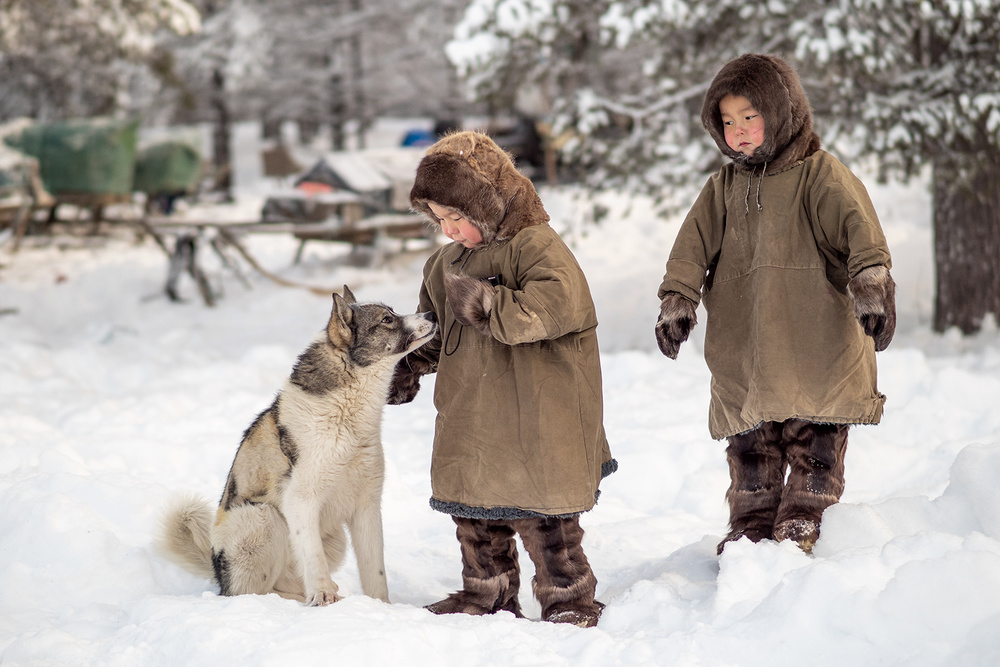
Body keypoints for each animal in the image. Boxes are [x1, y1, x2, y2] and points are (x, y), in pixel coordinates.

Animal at [158, 288, 436, 604]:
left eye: (393, 312)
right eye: (387, 319)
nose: (432, 314)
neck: (346, 415)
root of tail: (219, 574)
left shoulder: (367, 506)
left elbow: (375, 571)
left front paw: (381, 607)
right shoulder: (301, 500)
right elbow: (313, 557)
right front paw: (324, 596)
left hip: (333, 538)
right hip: (262, 517)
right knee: (251, 590)